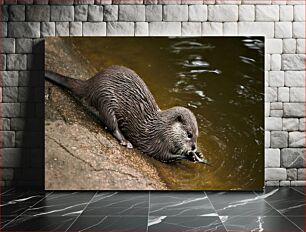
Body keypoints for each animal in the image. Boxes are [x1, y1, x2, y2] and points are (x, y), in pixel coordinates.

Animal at [45, 65, 207, 163]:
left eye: (197, 135)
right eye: (189, 134)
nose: (194, 147)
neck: (164, 128)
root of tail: (91, 82)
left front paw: (199, 154)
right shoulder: (159, 141)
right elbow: (163, 156)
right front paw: (188, 155)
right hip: (106, 101)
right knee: (112, 125)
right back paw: (125, 141)